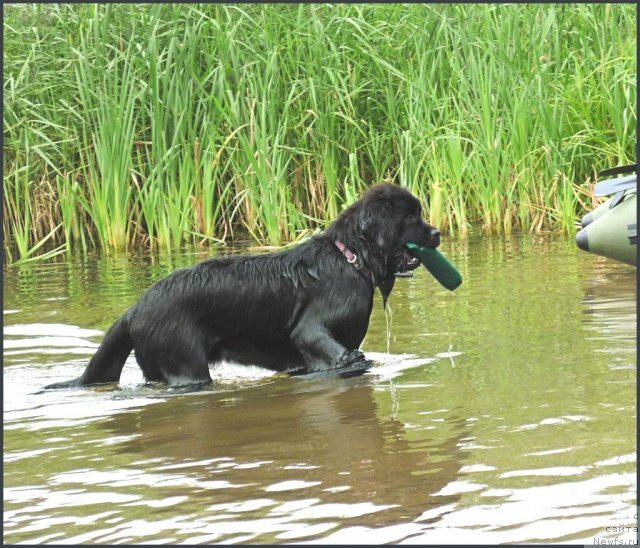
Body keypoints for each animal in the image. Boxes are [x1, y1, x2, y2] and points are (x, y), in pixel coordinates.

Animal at [45, 182, 440, 388]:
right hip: (184, 363)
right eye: (409, 218)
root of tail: (136, 307)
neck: (349, 258)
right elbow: (327, 347)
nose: (437, 232)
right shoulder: (311, 332)